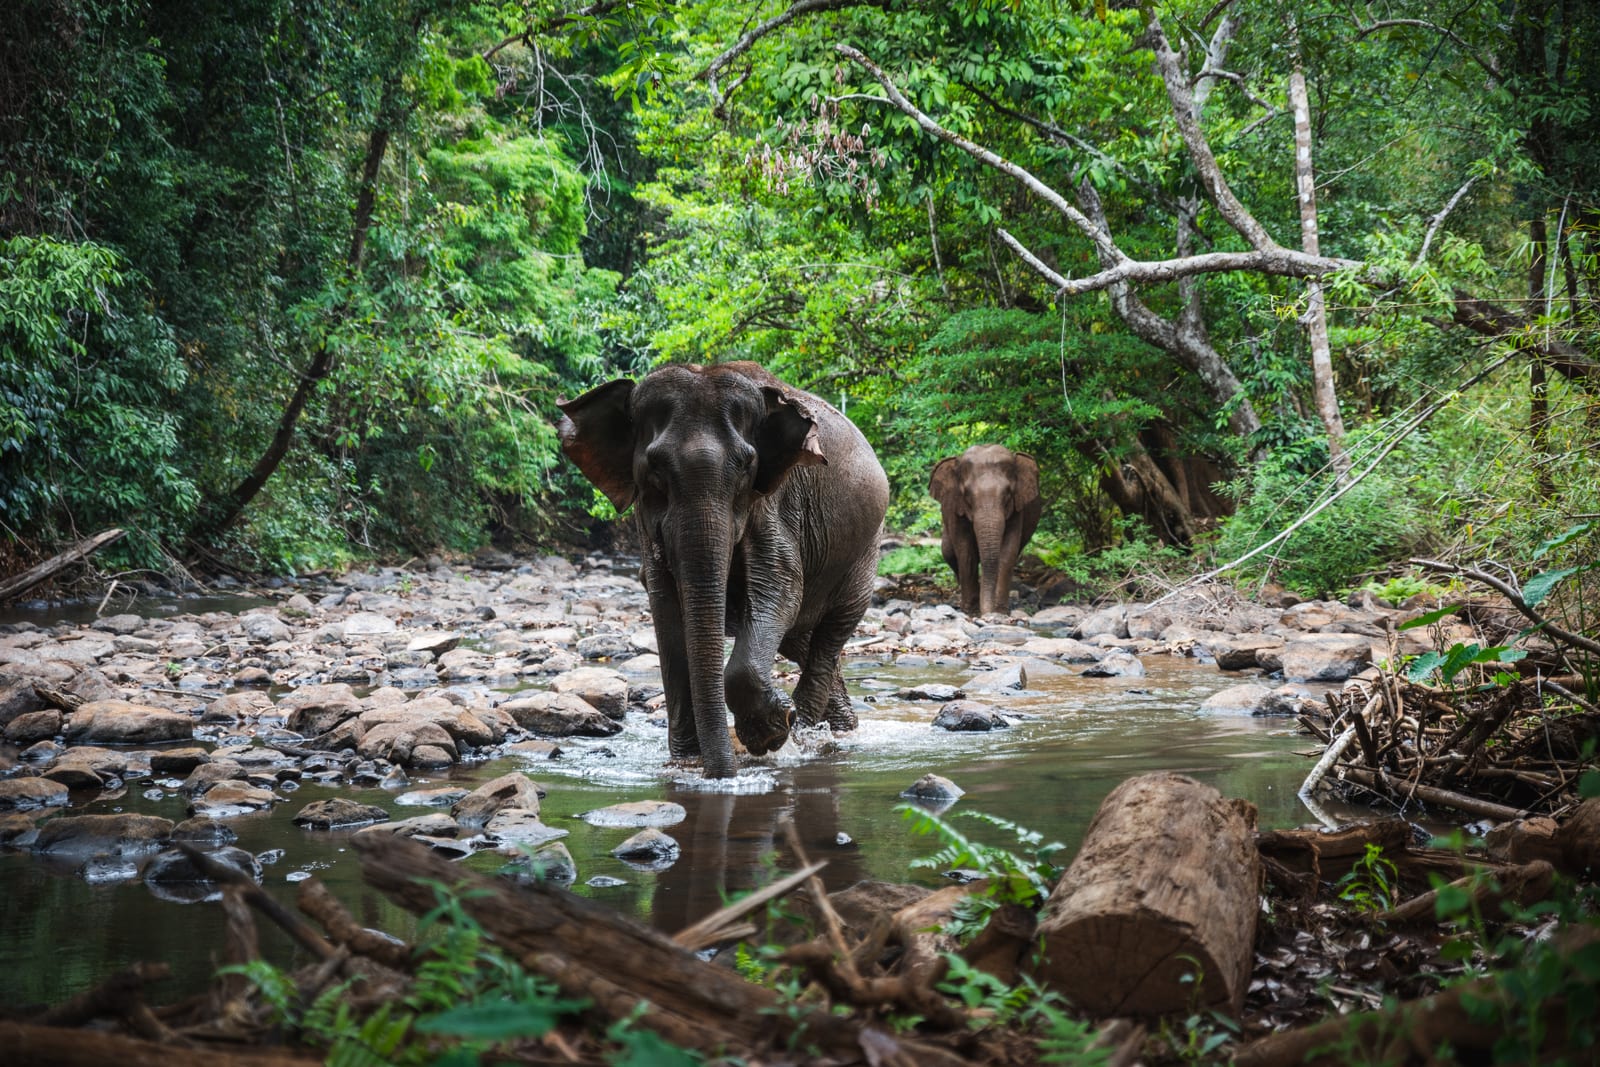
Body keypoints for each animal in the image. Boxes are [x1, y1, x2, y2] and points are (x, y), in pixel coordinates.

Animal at [558, 362, 889, 779]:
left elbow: (780, 590)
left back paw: (809, 736)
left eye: (747, 465)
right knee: (799, 637)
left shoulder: (772, 504)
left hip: (864, 551)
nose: (721, 774)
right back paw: (836, 728)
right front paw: (688, 761)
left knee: (832, 630)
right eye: (655, 467)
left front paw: (769, 734)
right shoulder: (645, 523)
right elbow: (665, 607)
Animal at [930, 444, 1041, 617]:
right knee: (947, 552)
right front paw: (971, 611)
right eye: (967, 494)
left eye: (1008, 493)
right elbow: (966, 552)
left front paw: (1000, 612)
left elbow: (1008, 552)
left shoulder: (1017, 509)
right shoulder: (956, 509)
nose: (987, 613)